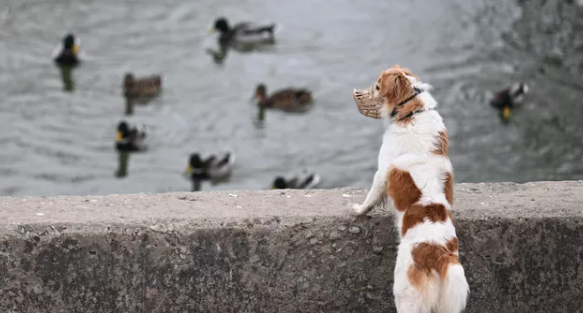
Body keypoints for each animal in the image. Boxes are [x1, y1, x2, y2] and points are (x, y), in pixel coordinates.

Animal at [352, 64, 470, 312]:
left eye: (377, 86)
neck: (414, 112)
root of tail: (439, 254)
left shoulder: (382, 171)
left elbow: (371, 197)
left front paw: (358, 210)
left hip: (406, 296)